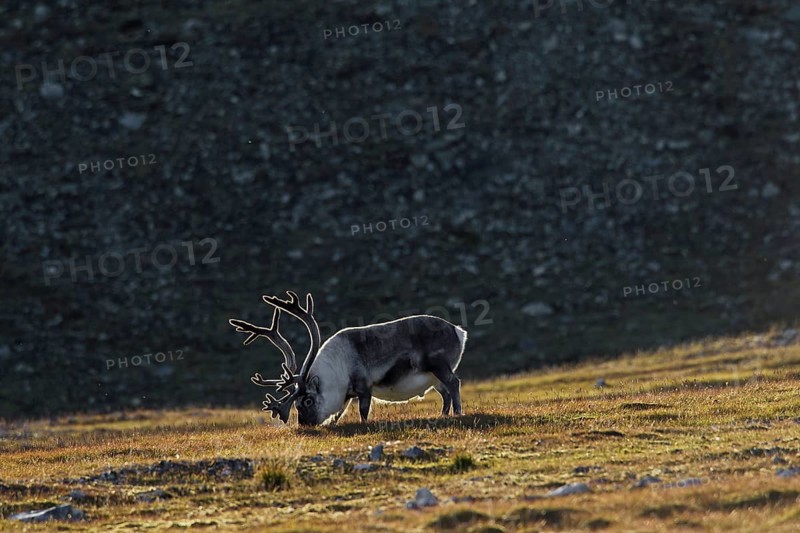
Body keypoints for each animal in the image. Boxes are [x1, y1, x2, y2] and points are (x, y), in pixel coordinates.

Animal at [228, 291, 467, 426]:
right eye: (295, 404)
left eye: (307, 400)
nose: (304, 425)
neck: (336, 371)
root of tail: (458, 331)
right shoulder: (346, 396)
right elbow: (338, 415)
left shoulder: (363, 387)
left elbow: (363, 411)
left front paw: (363, 425)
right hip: (433, 377)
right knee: (445, 392)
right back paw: (443, 415)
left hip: (439, 365)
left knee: (454, 383)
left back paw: (457, 413)